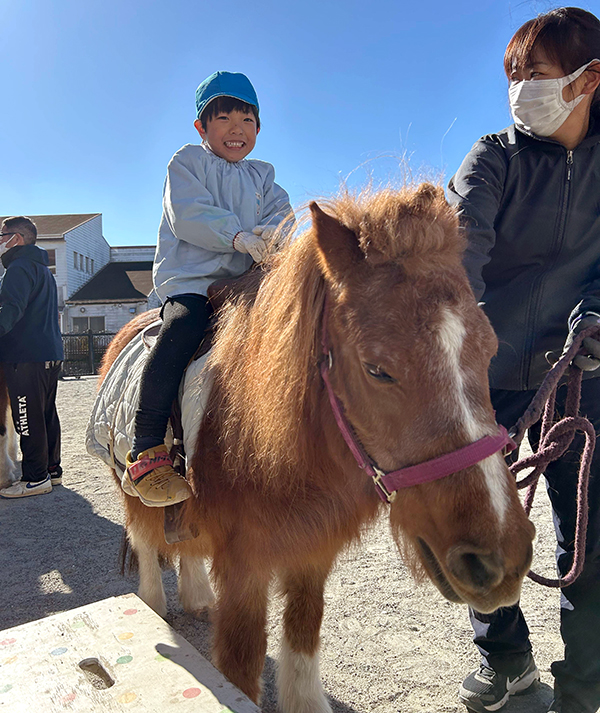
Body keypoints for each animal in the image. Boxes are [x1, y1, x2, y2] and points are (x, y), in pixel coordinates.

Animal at [98, 185, 536, 712]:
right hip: (132, 488)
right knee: (145, 541)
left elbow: (304, 634)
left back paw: (198, 596)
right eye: (376, 369)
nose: (500, 560)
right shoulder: (244, 569)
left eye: (490, 351)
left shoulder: (312, 551)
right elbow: (242, 665)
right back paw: (153, 607)